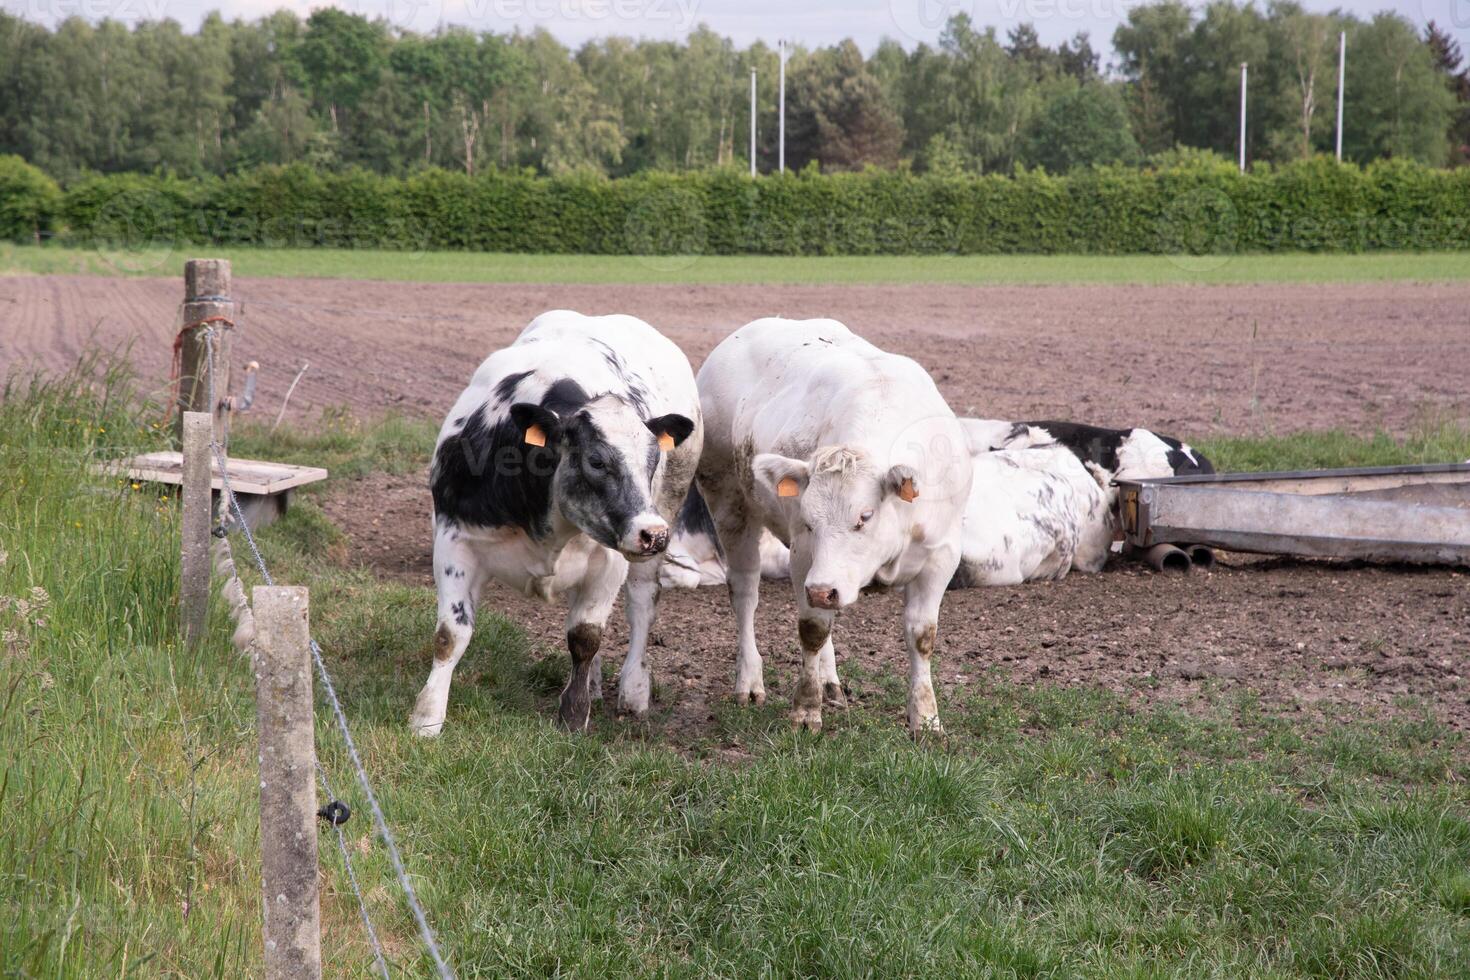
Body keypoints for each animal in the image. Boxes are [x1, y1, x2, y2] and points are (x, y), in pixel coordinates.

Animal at [411, 310, 702, 731]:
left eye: (653, 460)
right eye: (596, 460)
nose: (654, 534)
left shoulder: (610, 560)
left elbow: (585, 637)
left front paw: (574, 715)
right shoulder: (455, 540)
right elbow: (451, 634)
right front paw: (428, 717)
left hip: (665, 510)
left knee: (642, 602)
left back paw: (633, 689)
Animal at [693, 318, 970, 731]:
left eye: (865, 516)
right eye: (809, 520)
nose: (822, 591)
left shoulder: (941, 555)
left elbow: (922, 635)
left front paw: (926, 719)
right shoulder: (804, 554)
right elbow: (813, 629)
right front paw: (806, 711)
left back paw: (829, 681)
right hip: (728, 502)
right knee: (744, 592)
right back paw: (750, 681)